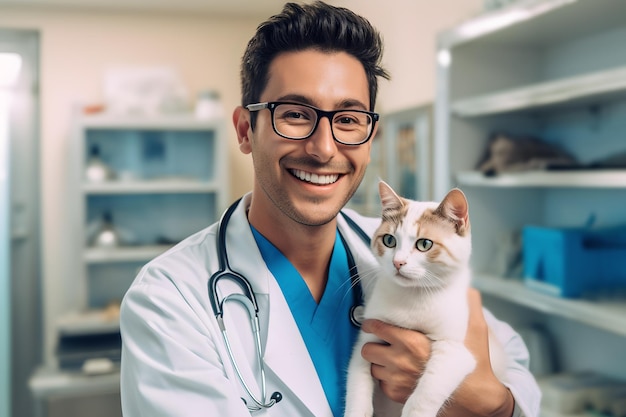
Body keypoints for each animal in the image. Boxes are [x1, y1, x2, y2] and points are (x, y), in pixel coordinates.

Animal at [342, 181, 508, 416]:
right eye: (389, 240)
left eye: (424, 244)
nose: (398, 262)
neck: (413, 295)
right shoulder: (366, 341)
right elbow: (358, 382)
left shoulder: (455, 351)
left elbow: (425, 393)